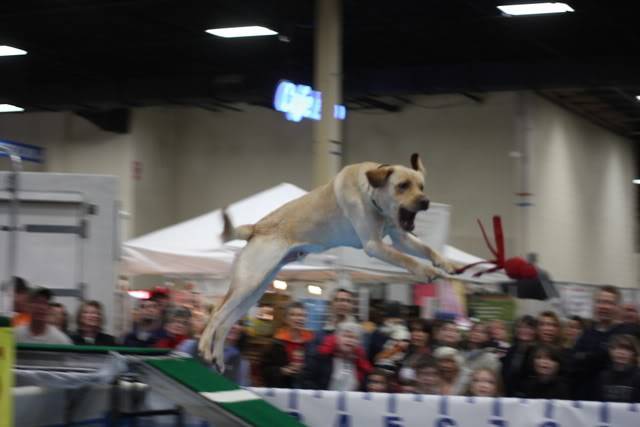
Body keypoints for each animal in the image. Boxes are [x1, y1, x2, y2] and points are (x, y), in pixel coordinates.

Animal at [200, 154, 456, 372]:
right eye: (402, 185)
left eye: (421, 186)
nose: (425, 201)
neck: (372, 193)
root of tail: (255, 228)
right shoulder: (373, 245)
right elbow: (408, 259)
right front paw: (426, 270)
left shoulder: (400, 237)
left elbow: (427, 249)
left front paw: (447, 264)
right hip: (248, 283)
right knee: (216, 314)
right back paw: (204, 349)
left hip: (255, 290)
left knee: (225, 324)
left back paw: (218, 359)